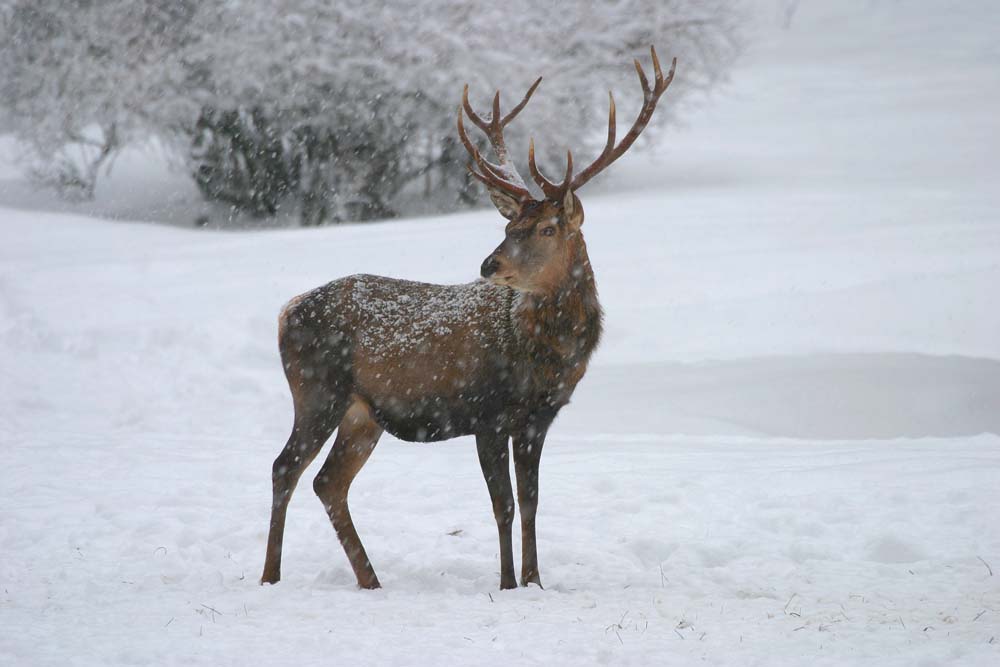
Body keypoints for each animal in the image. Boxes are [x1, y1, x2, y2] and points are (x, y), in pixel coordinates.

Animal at [262, 47, 676, 588]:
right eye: (508, 224)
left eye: (546, 228)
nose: (489, 264)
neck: (545, 359)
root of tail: (286, 311)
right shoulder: (487, 413)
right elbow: (503, 505)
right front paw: (506, 584)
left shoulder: (538, 419)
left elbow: (532, 503)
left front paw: (535, 582)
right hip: (317, 389)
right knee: (284, 467)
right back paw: (271, 576)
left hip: (362, 412)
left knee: (328, 481)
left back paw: (371, 581)